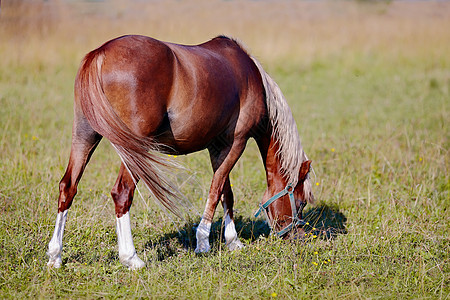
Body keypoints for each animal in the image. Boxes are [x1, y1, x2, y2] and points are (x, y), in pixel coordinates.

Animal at [45, 35, 312, 270]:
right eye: (300, 202)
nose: (298, 237)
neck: (248, 75)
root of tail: (99, 54)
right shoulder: (236, 142)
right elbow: (216, 191)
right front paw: (203, 242)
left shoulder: (218, 148)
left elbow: (226, 192)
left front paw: (233, 241)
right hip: (134, 150)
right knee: (122, 193)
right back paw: (131, 258)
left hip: (85, 136)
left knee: (68, 187)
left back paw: (55, 256)